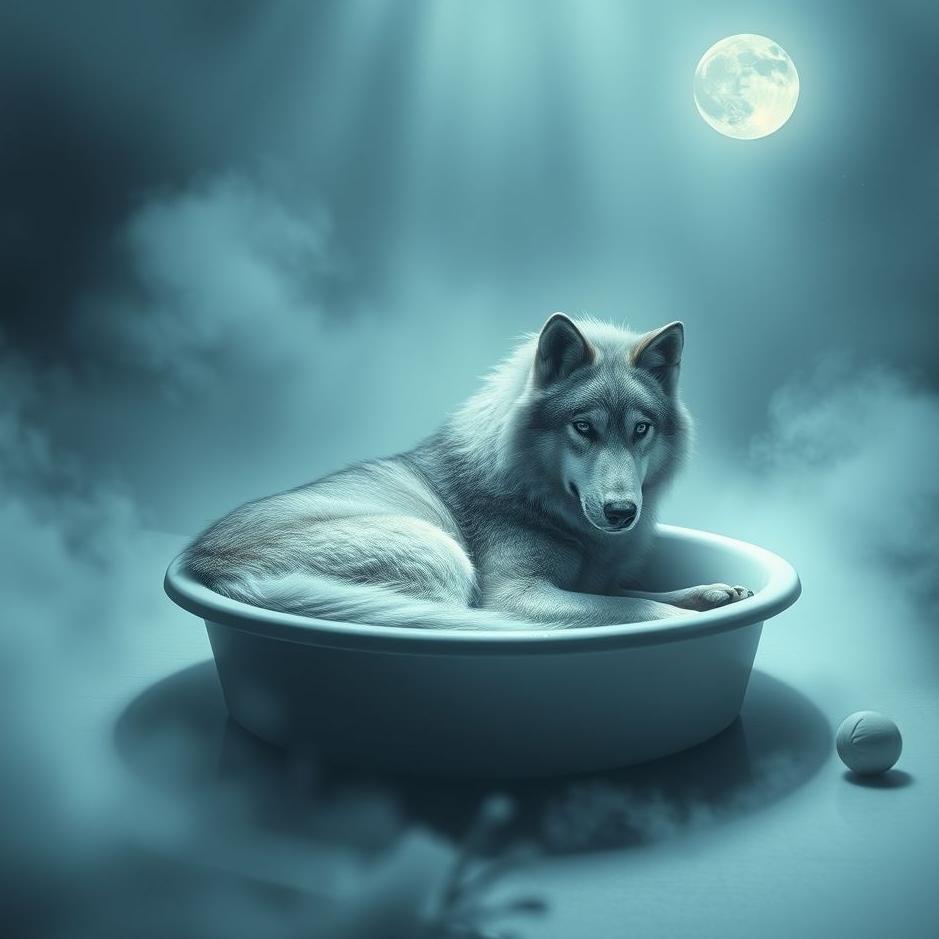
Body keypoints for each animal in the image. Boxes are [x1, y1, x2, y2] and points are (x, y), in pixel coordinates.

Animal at [183, 314, 752, 629]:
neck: (531, 498)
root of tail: (210, 568)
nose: (620, 512)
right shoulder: (520, 596)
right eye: (583, 427)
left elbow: (633, 596)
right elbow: (635, 612)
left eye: (640, 429)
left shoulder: (597, 582)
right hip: (440, 553)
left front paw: (712, 593)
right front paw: (692, 614)